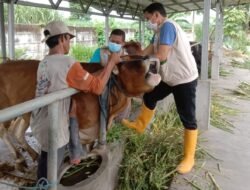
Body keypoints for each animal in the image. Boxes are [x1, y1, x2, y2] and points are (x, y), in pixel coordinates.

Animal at [0, 55, 160, 170]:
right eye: (126, 62)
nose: (148, 57)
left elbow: (90, 148)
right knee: (4, 131)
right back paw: (20, 158)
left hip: (25, 114)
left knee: (17, 130)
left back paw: (33, 156)